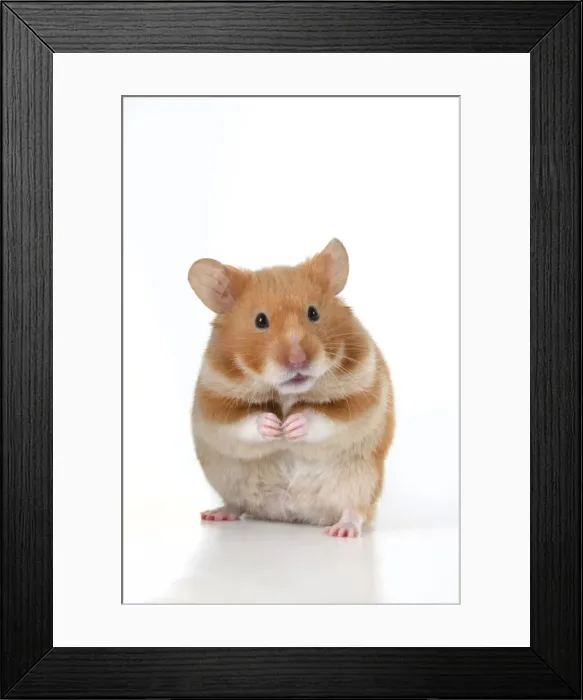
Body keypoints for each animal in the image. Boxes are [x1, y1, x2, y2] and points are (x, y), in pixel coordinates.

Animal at [188, 238, 395, 538]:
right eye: (260, 320)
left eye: (313, 313)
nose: (298, 360)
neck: (287, 393)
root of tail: (293, 512)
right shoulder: (213, 401)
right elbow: (242, 422)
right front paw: (276, 427)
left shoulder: (362, 392)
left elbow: (327, 416)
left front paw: (291, 426)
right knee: (237, 504)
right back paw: (215, 514)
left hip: (363, 481)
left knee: (355, 510)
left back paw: (342, 530)